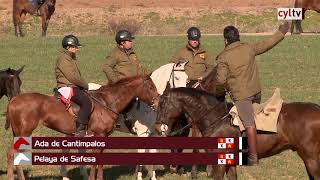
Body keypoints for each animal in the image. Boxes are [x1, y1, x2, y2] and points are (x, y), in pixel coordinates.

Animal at [4, 75, 159, 180]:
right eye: (151, 87)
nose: (158, 102)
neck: (107, 102)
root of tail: (14, 100)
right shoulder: (99, 135)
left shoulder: (104, 137)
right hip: (24, 133)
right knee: (12, 153)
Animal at [156, 86, 320, 179]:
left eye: (163, 103)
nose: (158, 127)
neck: (216, 117)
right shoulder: (230, 162)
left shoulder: (220, 163)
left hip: (311, 159)